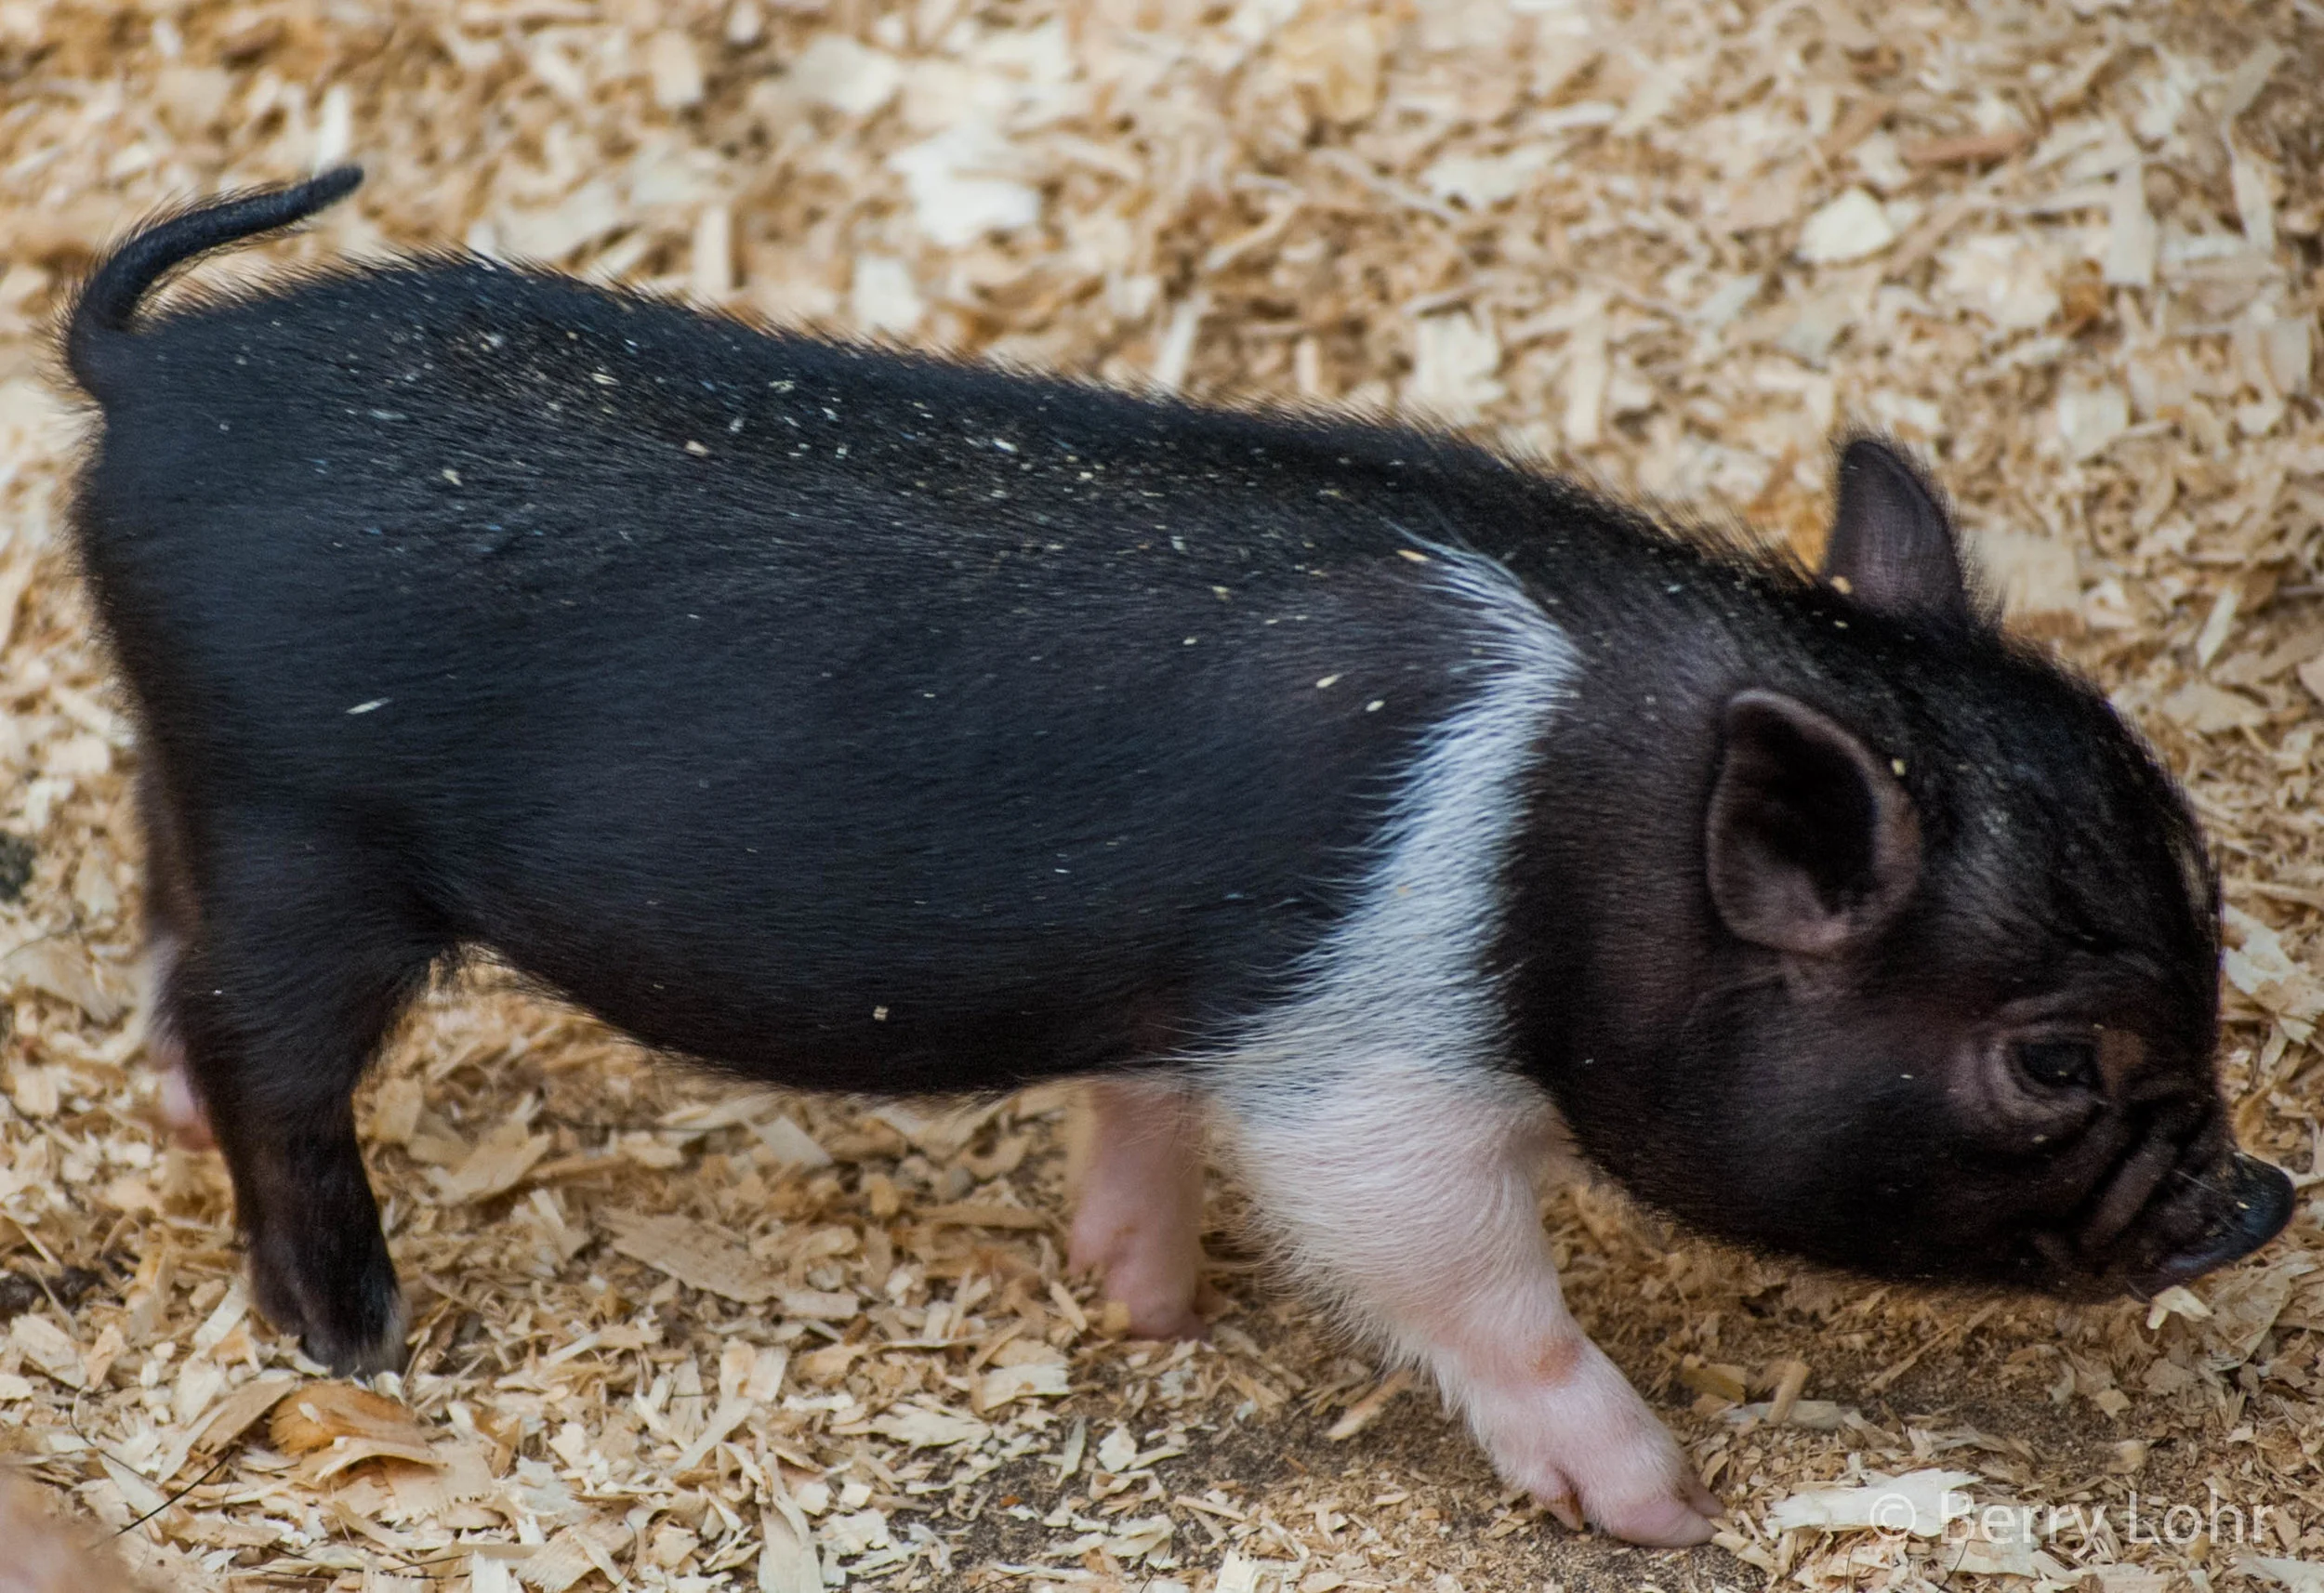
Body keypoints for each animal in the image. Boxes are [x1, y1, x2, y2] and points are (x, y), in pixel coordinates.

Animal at [61, 169, 2291, 1546]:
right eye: (2051, 1058)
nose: (2257, 1198)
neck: (1570, 827)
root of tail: (148, 373)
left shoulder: (1209, 990)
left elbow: (1142, 1099)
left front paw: (1138, 1299)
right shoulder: (1368, 1075)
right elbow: (1454, 1268)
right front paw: (1662, 1503)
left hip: (207, 776)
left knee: (172, 941)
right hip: (308, 828)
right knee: (276, 1062)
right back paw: (355, 1334)